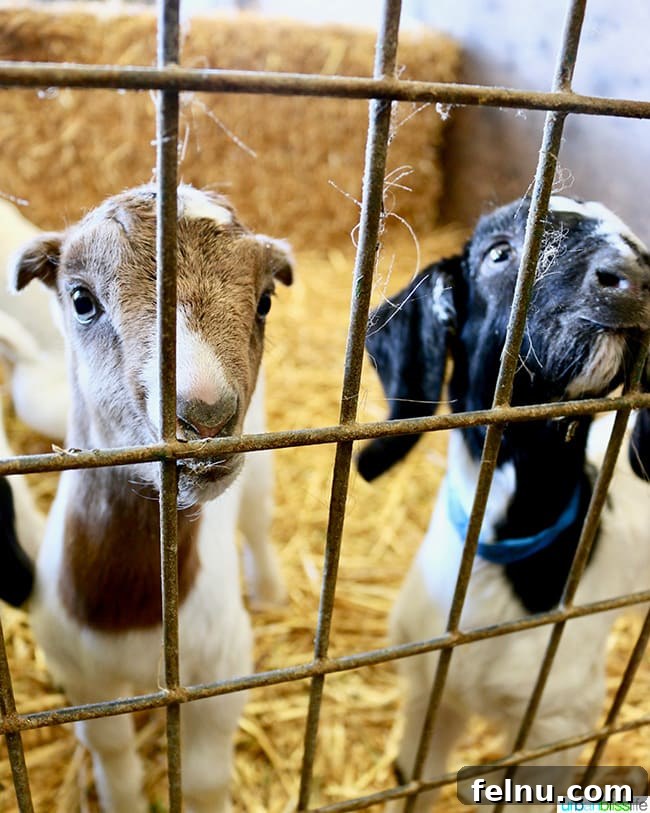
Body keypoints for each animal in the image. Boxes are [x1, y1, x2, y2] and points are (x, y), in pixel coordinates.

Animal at [1, 184, 293, 813]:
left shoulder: (223, 668)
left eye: (264, 302)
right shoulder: (85, 677)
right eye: (82, 300)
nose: (205, 418)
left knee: (258, 526)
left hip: (260, 469)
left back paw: (272, 593)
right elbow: (113, 754)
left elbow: (205, 778)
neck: (131, 607)